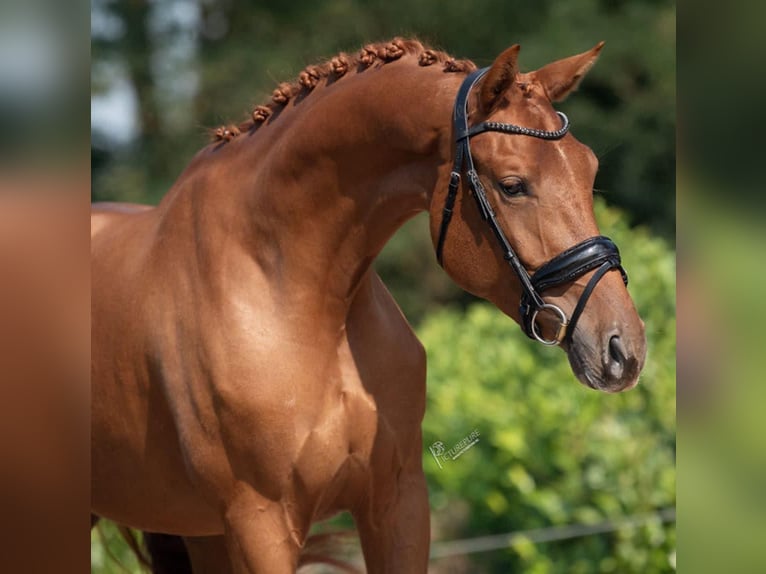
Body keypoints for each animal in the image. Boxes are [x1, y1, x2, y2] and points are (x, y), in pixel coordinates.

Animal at [94, 38, 648, 572]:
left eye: (590, 169)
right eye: (512, 186)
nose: (624, 348)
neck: (300, 300)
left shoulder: (398, 501)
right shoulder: (259, 524)